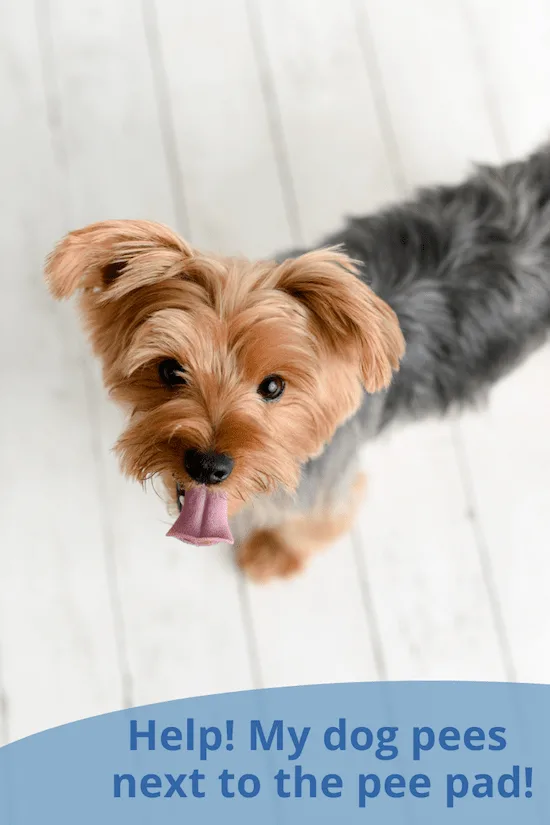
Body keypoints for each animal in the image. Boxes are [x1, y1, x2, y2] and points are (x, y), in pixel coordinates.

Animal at [46, 143, 550, 580]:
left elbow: (314, 524)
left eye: (273, 387)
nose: (209, 467)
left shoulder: (325, 490)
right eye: (170, 370)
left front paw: (271, 553)